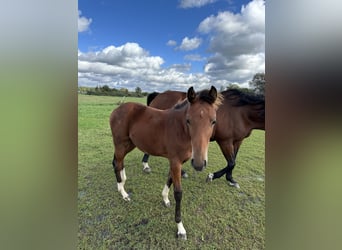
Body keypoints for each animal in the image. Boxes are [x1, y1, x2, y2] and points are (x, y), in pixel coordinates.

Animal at [109, 86, 222, 240]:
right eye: (188, 120)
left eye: (213, 121)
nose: (199, 164)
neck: (180, 129)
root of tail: (117, 109)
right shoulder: (175, 161)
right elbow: (178, 192)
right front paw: (180, 229)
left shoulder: (177, 162)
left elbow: (169, 180)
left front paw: (165, 199)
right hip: (120, 143)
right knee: (117, 162)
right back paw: (123, 192)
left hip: (130, 143)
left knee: (118, 161)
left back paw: (122, 182)